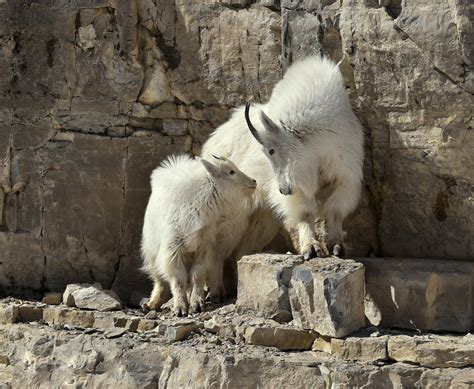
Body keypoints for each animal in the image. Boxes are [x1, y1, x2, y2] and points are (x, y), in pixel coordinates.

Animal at [201, 56, 362, 264]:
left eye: (271, 150)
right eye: (266, 152)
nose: (283, 190)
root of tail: (209, 145)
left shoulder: (344, 172)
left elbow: (335, 210)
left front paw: (337, 246)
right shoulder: (300, 186)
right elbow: (305, 212)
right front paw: (311, 248)